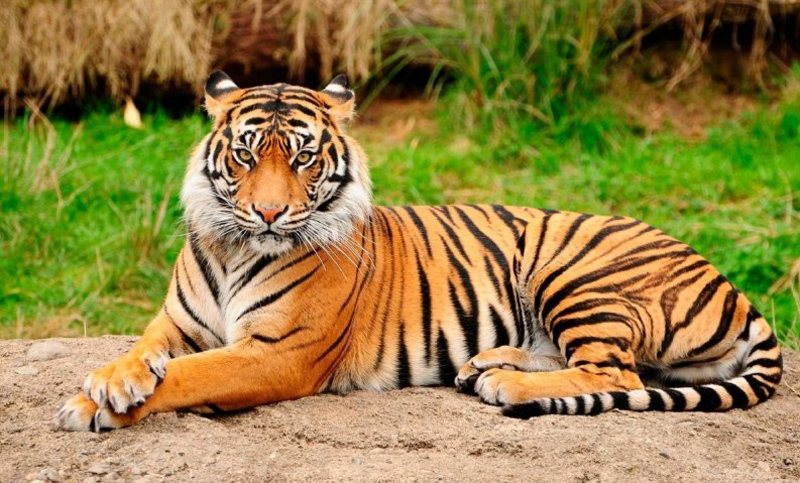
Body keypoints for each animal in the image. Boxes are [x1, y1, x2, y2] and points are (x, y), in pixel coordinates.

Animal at [54, 71, 782, 431]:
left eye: (303, 158)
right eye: (245, 154)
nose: (268, 212)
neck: (236, 247)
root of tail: (730, 283)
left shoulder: (277, 352)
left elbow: (191, 375)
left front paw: (94, 406)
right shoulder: (176, 322)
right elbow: (145, 353)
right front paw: (110, 381)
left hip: (574, 271)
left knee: (619, 375)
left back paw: (505, 382)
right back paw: (486, 364)